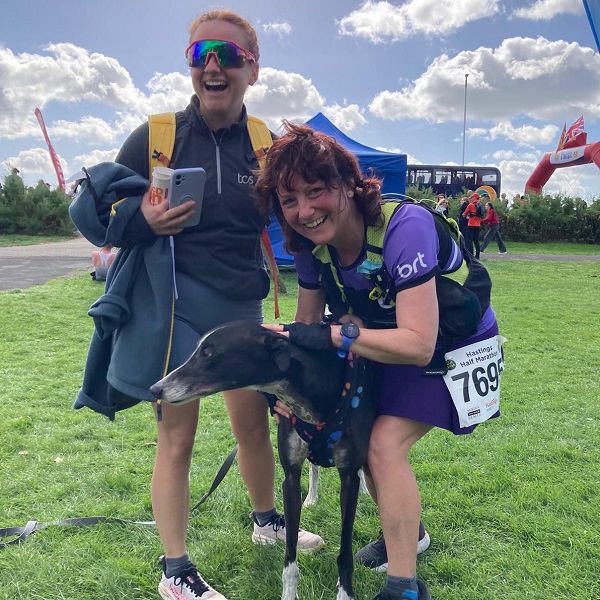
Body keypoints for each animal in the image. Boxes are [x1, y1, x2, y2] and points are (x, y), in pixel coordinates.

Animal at [150, 320, 376, 600]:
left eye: (208, 353)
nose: (155, 389)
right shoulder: (290, 478)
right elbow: (290, 556)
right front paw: (289, 593)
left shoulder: (347, 477)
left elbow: (345, 554)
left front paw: (345, 592)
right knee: (314, 469)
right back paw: (312, 497)